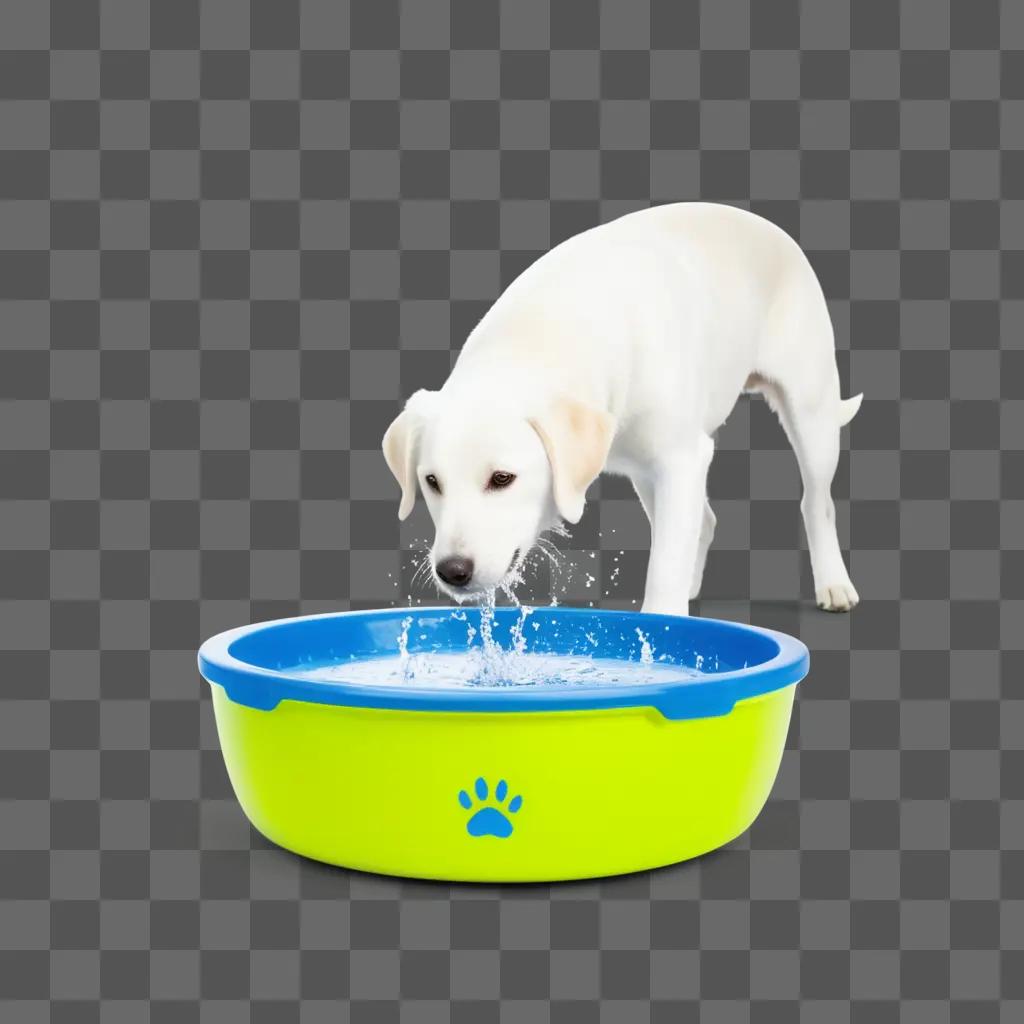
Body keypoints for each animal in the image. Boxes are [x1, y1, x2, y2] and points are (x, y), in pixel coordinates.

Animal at [380, 200, 860, 614]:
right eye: (431, 482)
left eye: (502, 479)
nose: (452, 571)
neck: (543, 332)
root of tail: (767, 225)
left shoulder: (682, 460)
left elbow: (664, 566)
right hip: (649, 476)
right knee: (703, 521)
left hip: (811, 414)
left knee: (818, 503)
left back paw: (833, 583)